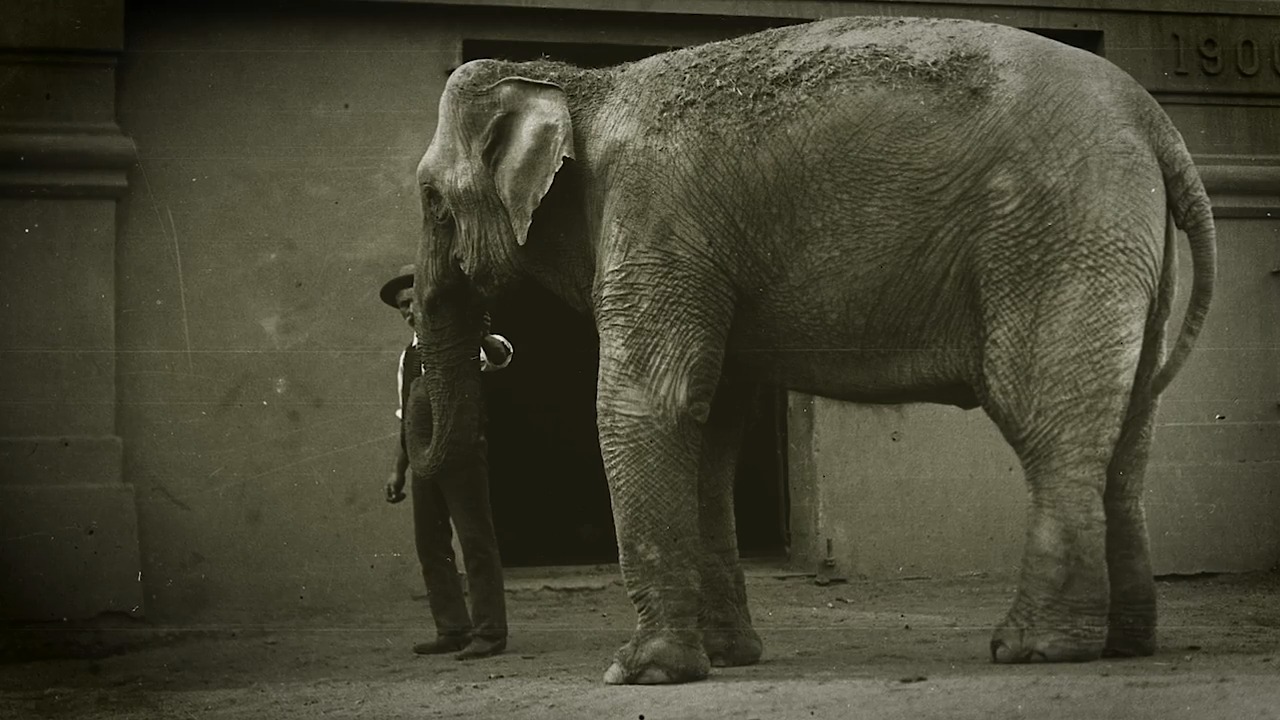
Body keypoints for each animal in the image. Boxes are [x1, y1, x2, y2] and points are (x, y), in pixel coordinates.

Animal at [406, 16, 1216, 685]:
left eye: (430, 199)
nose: (497, 345)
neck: (582, 83)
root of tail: (1158, 123)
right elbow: (711, 426)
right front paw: (728, 658)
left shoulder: (655, 219)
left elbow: (645, 404)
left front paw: (642, 672)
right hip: (1118, 241)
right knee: (1126, 437)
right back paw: (1124, 645)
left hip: (1058, 233)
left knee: (1046, 421)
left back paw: (1033, 650)